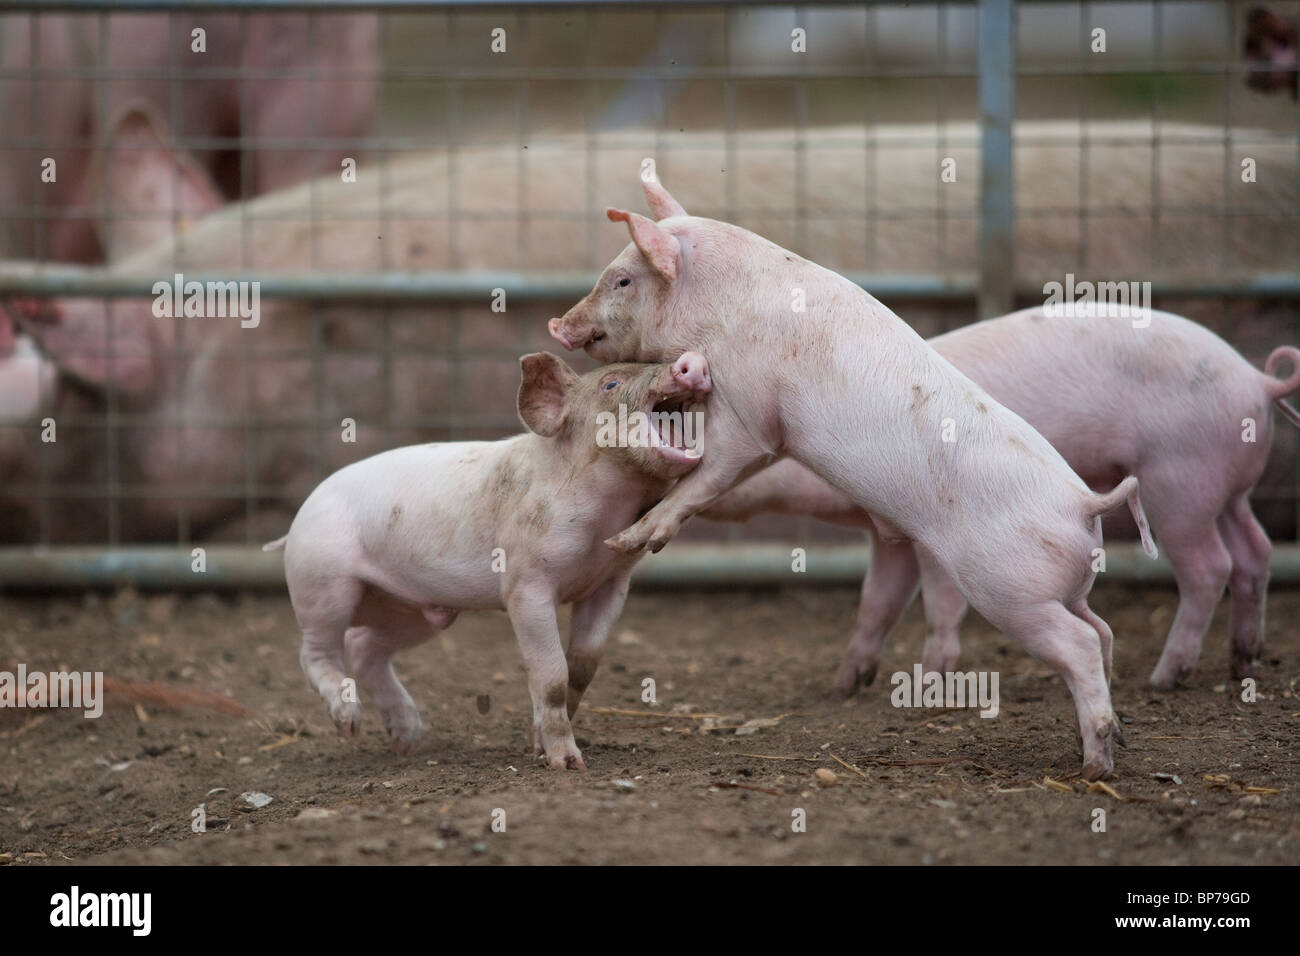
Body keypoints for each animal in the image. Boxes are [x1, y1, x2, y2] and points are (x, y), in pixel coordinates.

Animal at [266, 351, 712, 770]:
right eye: (612, 383)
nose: (689, 363)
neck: (605, 519)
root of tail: (299, 518)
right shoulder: (525, 583)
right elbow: (552, 674)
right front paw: (568, 764)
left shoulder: (610, 583)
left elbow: (582, 668)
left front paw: (537, 746)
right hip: (321, 577)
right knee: (317, 650)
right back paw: (349, 724)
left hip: (408, 608)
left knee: (362, 647)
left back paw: (407, 742)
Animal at [548, 160, 1159, 780]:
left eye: (623, 280)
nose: (557, 323)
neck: (719, 308)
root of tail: (1087, 503)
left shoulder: (753, 414)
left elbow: (708, 474)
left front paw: (628, 540)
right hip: (1069, 586)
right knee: (1103, 631)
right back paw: (1109, 740)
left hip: (1013, 590)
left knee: (1080, 643)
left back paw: (1095, 767)